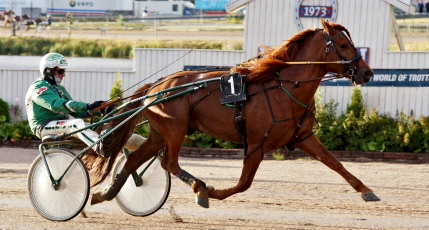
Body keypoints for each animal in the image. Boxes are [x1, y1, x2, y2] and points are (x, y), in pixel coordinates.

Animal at [88, 18, 380, 208]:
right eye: (344, 45)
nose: (368, 72)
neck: (286, 89)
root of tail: (156, 86)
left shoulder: (303, 137)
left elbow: (335, 163)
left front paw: (367, 191)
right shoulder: (257, 144)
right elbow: (244, 183)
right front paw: (210, 191)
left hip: (160, 133)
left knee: (134, 160)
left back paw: (105, 194)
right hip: (175, 130)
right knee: (168, 163)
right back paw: (199, 187)